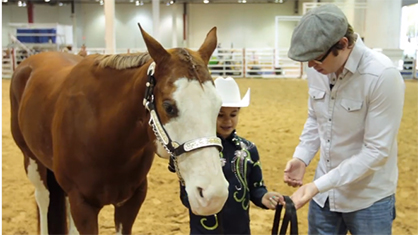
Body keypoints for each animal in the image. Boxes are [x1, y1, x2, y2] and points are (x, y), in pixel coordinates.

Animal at [9, 24, 229, 234]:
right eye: (168, 106)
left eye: (218, 106)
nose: (214, 195)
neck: (106, 135)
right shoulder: (82, 205)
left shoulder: (131, 201)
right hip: (32, 161)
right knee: (43, 198)